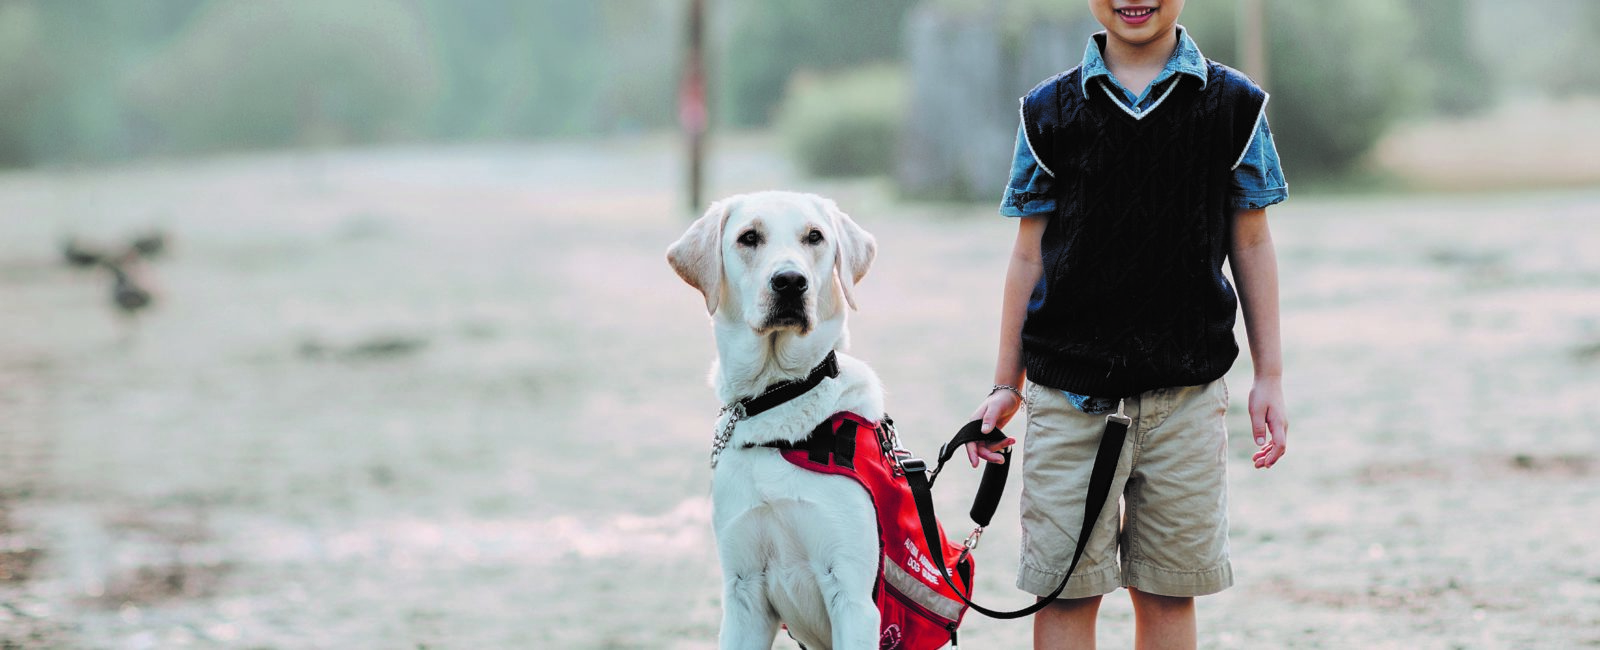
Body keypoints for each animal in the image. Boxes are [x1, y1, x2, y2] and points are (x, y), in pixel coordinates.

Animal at [665, 190, 889, 646]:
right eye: (749, 237)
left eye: (815, 236)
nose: (790, 281)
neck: (777, 396)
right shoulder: (743, 593)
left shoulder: (854, 598)